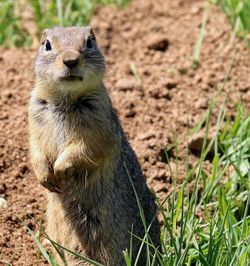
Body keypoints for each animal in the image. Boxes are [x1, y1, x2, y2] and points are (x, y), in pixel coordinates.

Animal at [27, 26, 160, 264]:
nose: (70, 60)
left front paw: (60, 169)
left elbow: (86, 148)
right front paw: (45, 176)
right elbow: (35, 148)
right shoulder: (33, 116)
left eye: (90, 42)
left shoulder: (100, 126)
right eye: (47, 45)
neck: (66, 101)